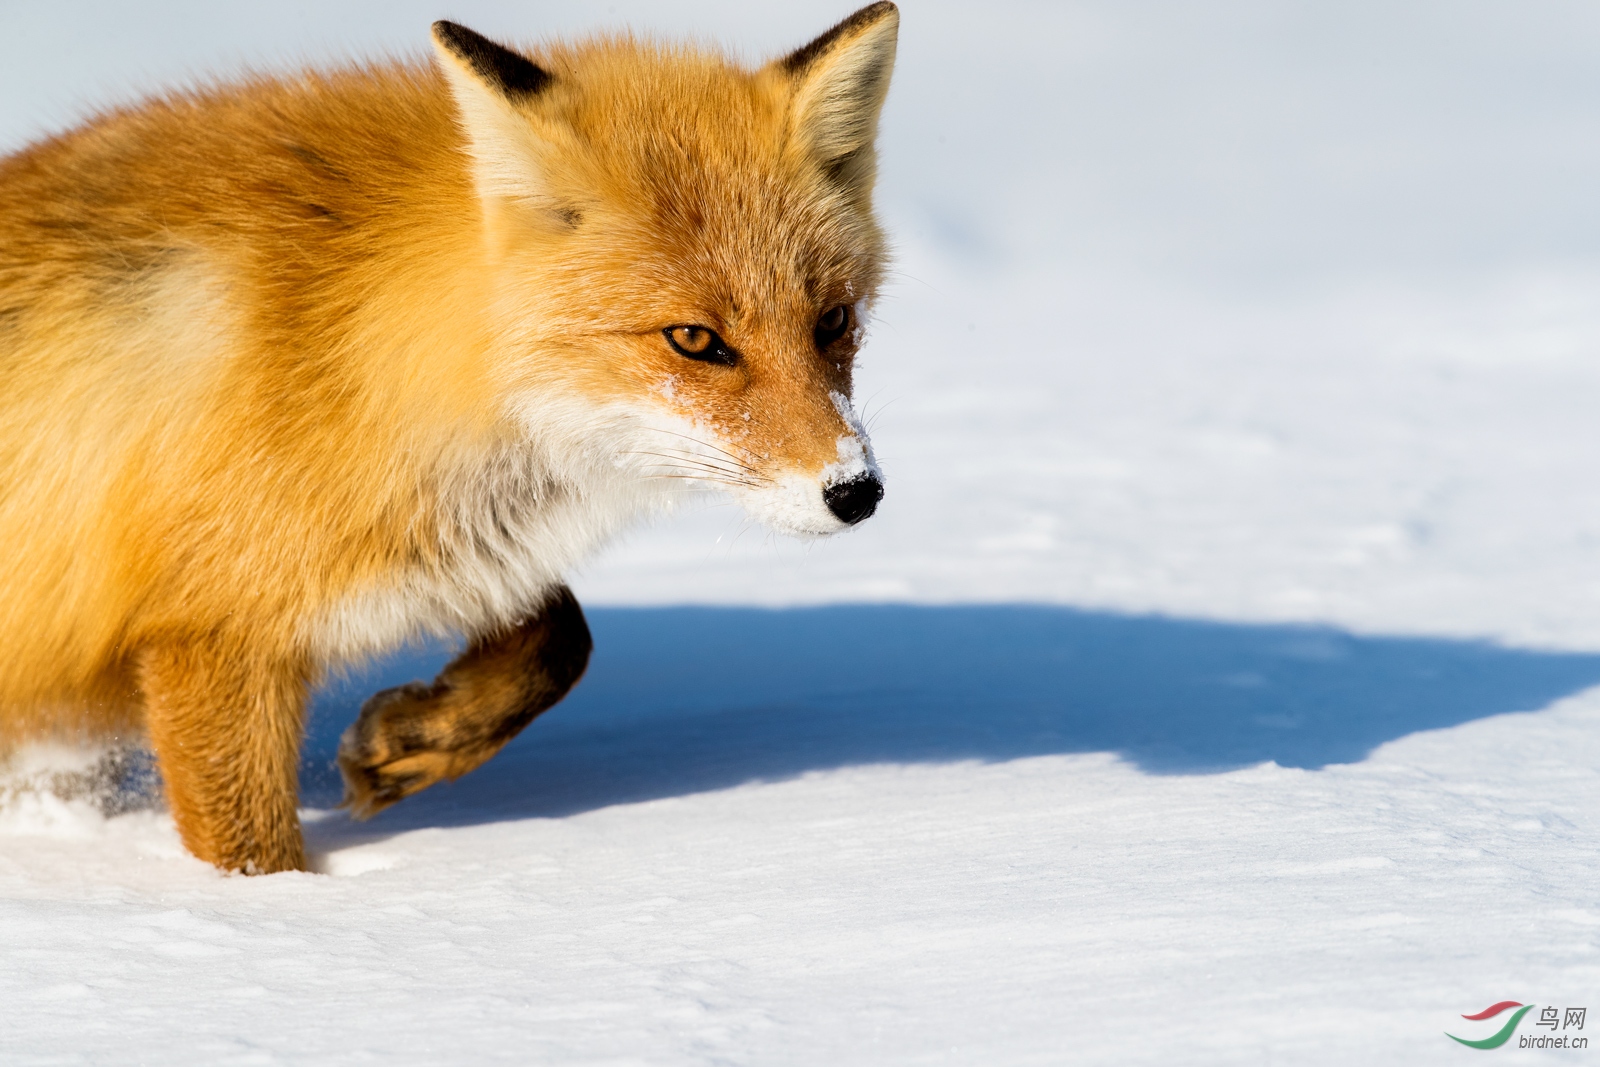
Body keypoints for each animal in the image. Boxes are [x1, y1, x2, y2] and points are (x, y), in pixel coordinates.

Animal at [0, 4, 902, 870]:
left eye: (833, 321)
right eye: (693, 339)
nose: (856, 491)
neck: (351, 339)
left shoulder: (448, 552)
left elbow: (562, 634)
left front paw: (409, 739)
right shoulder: (211, 634)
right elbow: (252, 857)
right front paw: (274, 913)